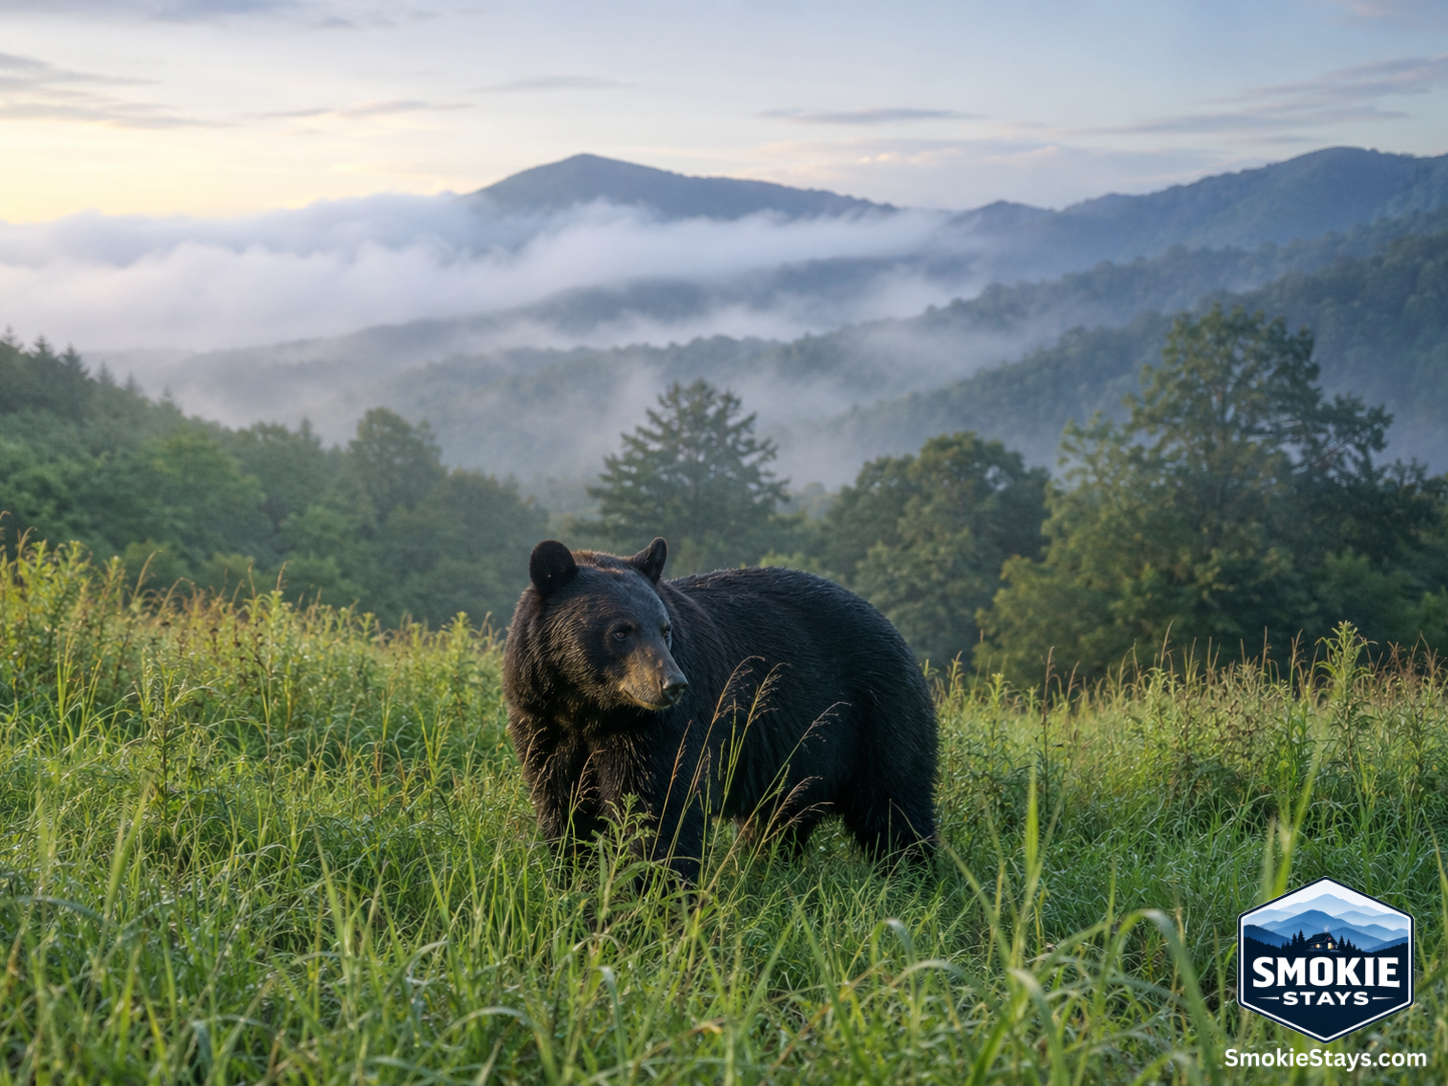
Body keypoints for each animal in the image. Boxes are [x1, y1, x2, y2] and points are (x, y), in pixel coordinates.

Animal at [502, 537, 938, 884]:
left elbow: (659, 805)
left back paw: (913, 878)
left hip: (878, 717)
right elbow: (563, 806)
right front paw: (575, 878)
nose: (672, 685)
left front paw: (652, 892)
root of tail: (892, 627)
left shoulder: (659, 729)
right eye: (621, 631)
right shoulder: (542, 721)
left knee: (895, 806)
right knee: (778, 822)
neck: (589, 708)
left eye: (665, 629)